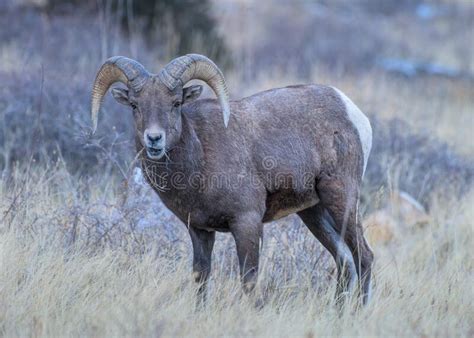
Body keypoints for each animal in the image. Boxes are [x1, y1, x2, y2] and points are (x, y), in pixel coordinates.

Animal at [91, 54, 374, 304]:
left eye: (176, 103)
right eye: (135, 105)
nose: (154, 139)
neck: (199, 161)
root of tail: (352, 112)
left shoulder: (247, 223)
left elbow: (248, 280)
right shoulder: (200, 231)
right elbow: (201, 278)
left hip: (341, 199)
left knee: (364, 257)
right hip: (313, 212)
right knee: (345, 261)